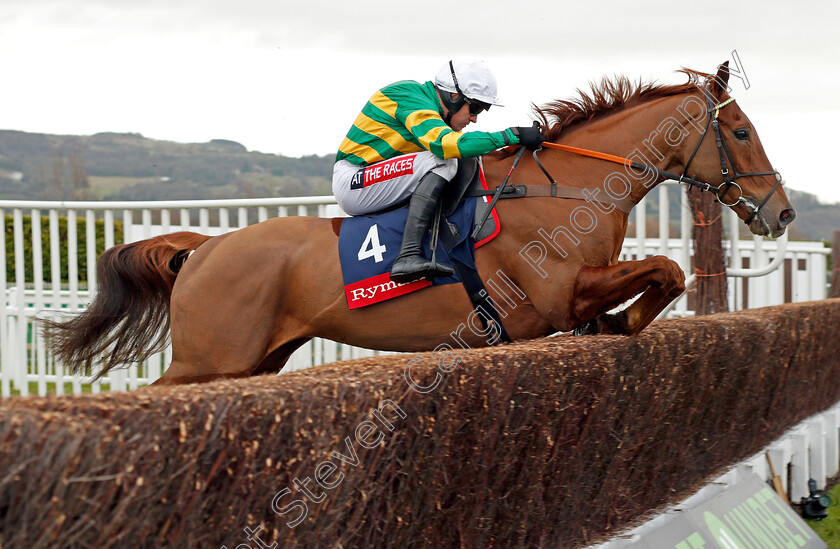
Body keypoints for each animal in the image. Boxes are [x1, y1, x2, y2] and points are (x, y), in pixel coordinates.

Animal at [44, 62, 796, 384]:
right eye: (740, 130)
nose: (782, 210)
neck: (566, 189)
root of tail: (205, 248)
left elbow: (663, 274)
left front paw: (619, 321)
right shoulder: (556, 295)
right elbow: (664, 267)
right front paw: (624, 320)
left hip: (255, 360)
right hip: (208, 359)